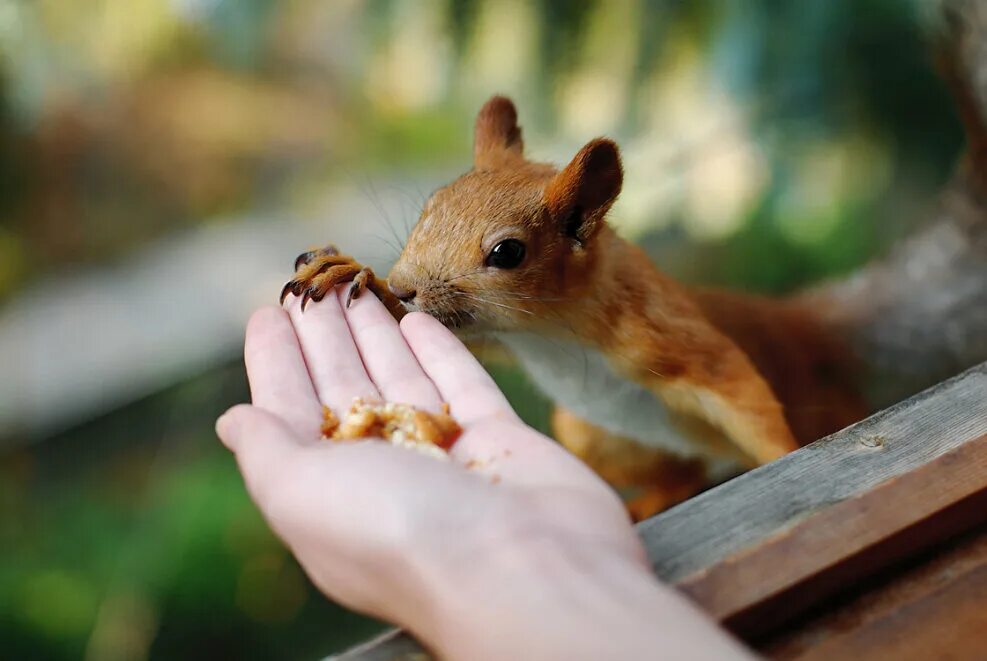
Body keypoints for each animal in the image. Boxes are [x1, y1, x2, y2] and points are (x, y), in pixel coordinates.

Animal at [280, 95, 896, 520]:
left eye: (507, 252)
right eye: (432, 204)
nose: (407, 285)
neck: (549, 330)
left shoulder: (662, 332)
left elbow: (741, 391)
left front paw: (792, 458)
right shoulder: (497, 335)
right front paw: (355, 274)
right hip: (590, 436)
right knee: (685, 472)